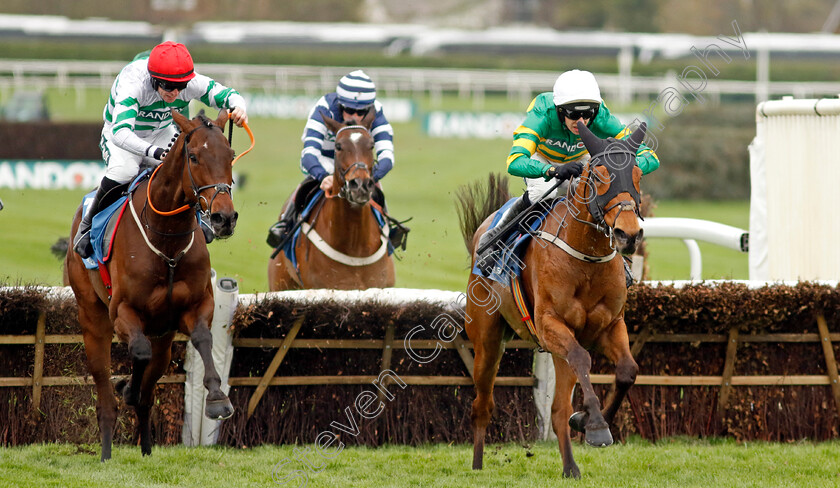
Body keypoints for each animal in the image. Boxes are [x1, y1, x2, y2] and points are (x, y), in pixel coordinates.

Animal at [64, 110, 236, 462]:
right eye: (194, 157)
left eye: (231, 155)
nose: (224, 218)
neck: (166, 238)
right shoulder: (123, 312)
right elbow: (138, 351)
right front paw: (127, 386)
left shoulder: (197, 305)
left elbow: (203, 338)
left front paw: (217, 398)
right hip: (93, 321)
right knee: (106, 398)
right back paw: (106, 451)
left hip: (165, 342)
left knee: (147, 395)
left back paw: (145, 448)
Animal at [456, 120, 648, 478]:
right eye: (598, 175)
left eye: (638, 173)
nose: (628, 234)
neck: (586, 257)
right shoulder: (550, 326)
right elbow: (583, 361)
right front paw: (595, 425)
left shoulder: (610, 326)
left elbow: (627, 370)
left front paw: (587, 420)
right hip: (488, 340)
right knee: (482, 404)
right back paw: (477, 465)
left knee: (558, 409)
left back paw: (570, 466)